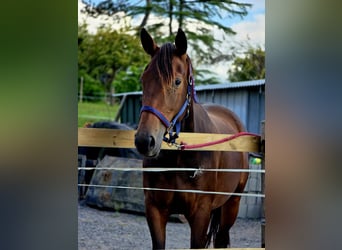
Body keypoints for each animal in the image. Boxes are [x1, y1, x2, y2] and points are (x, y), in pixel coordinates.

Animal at [134, 28, 248, 249]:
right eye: (143, 79)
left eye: (177, 81)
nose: (144, 141)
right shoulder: (155, 210)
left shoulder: (200, 214)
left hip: (232, 205)